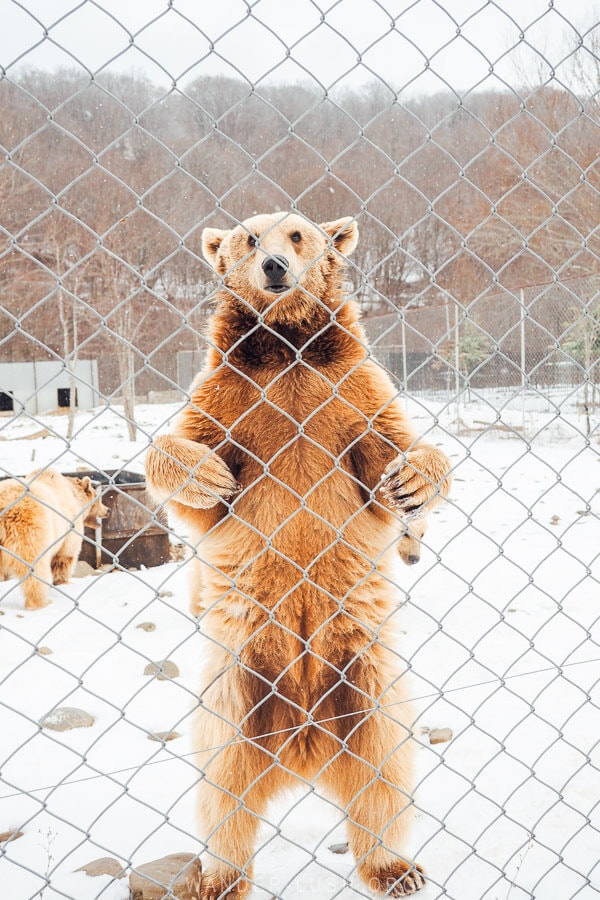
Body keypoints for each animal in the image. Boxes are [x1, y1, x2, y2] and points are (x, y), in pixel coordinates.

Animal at [0, 468, 106, 608]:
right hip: (28, 529)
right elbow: (65, 556)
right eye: (98, 499)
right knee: (34, 568)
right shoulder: (70, 527)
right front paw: (63, 582)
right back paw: (41, 601)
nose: (108, 510)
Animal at [145, 209, 452, 892]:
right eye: (248, 238)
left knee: (384, 770)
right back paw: (222, 876)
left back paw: (393, 866)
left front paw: (414, 481)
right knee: (223, 786)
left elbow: (394, 448)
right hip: (237, 681)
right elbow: (191, 466)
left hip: (367, 674)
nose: (275, 267)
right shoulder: (230, 396)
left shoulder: (351, 395)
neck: (288, 353)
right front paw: (206, 474)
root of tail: (306, 741)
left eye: (297, 235)